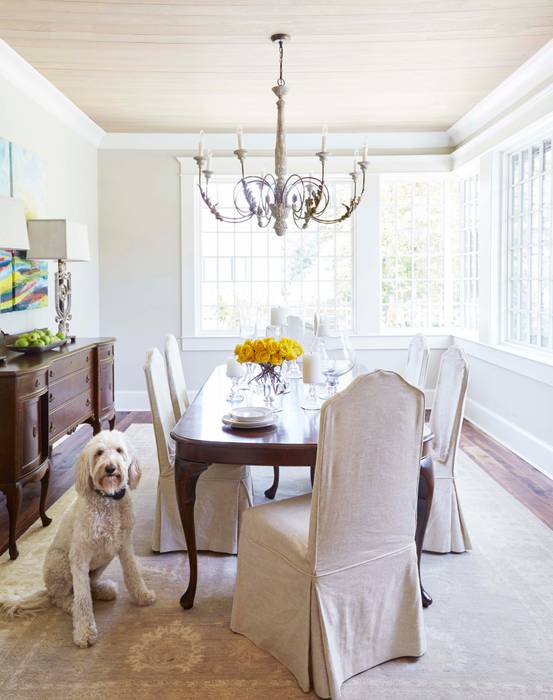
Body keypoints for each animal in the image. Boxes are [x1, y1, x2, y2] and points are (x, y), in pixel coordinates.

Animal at [1, 430, 155, 648]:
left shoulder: (124, 545)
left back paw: (103, 590)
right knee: (62, 597)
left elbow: (133, 572)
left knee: (88, 585)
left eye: (119, 450)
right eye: (99, 453)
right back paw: (71, 605)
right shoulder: (79, 556)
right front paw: (85, 633)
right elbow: (83, 600)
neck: (108, 500)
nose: (110, 468)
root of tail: (47, 588)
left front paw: (142, 596)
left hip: (103, 561)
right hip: (61, 563)